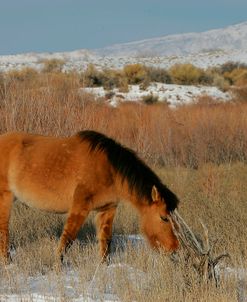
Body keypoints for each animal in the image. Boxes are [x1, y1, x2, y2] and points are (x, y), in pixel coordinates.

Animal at [0, 130, 178, 262]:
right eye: (164, 218)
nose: (174, 249)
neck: (108, 169)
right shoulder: (80, 206)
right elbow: (67, 238)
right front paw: (57, 266)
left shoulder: (107, 209)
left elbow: (105, 240)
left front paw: (104, 266)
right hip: (5, 198)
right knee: (4, 231)